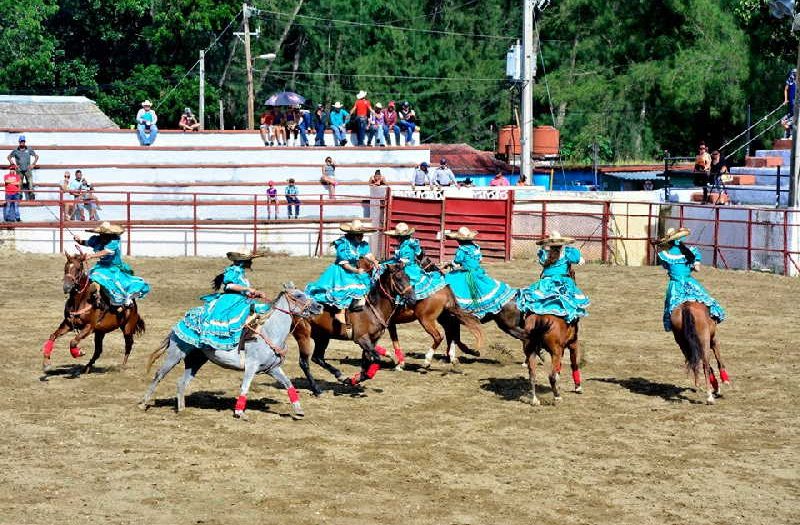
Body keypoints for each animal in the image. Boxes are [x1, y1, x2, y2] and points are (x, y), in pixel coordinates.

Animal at [140, 284, 322, 420]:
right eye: (298, 295)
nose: (319, 306)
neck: (270, 331)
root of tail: (178, 323)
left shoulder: (273, 368)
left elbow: (289, 384)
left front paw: (299, 410)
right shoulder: (251, 366)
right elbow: (245, 387)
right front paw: (240, 412)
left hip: (195, 361)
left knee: (181, 382)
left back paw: (182, 409)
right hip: (175, 354)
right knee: (159, 375)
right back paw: (143, 403)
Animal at [296, 260, 418, 396]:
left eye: (408, 277)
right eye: (398, 278)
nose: (413, 299)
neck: (371, 308)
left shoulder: (372, 341)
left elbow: (367, 363)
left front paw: (354, 380)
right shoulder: (361, 339)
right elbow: (376, 359)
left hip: (322, 337)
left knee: (317, 358)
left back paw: (340, 376)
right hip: (303, 336)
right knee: (304, 362)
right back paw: (316, 389)